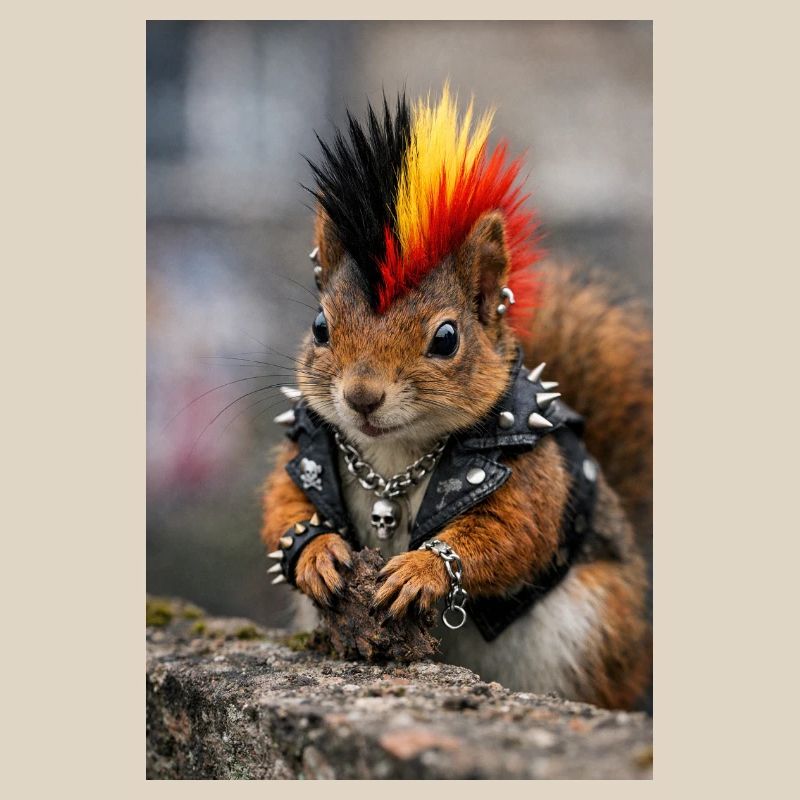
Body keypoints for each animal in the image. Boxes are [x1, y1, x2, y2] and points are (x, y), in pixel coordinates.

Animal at [260, 86, 652, 710]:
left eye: (446, 338)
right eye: (320, 326)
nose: (362, 396)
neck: (395, 457)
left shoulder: (531, 472)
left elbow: (512, 531)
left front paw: (423, 569)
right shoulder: (307, 444)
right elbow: (283, 503)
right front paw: (317, 551)